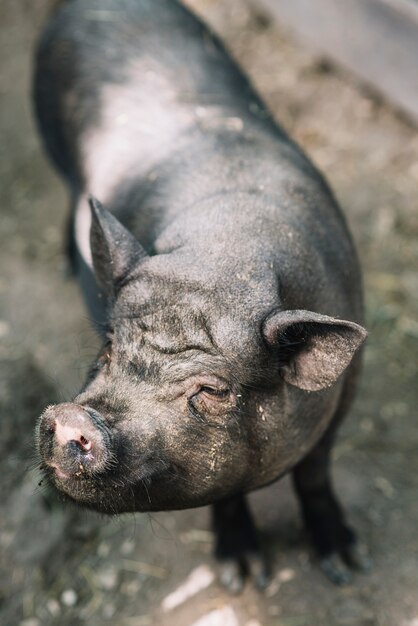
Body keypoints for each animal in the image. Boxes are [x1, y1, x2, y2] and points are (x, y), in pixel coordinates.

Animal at [35, 0, 370, 588]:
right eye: (107, 349)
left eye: (212, 390)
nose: (74, 418)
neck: (222, 249)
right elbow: (226, 498)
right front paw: (242, 576)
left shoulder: (345, 392)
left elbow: (314, 473)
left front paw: (347, 565)